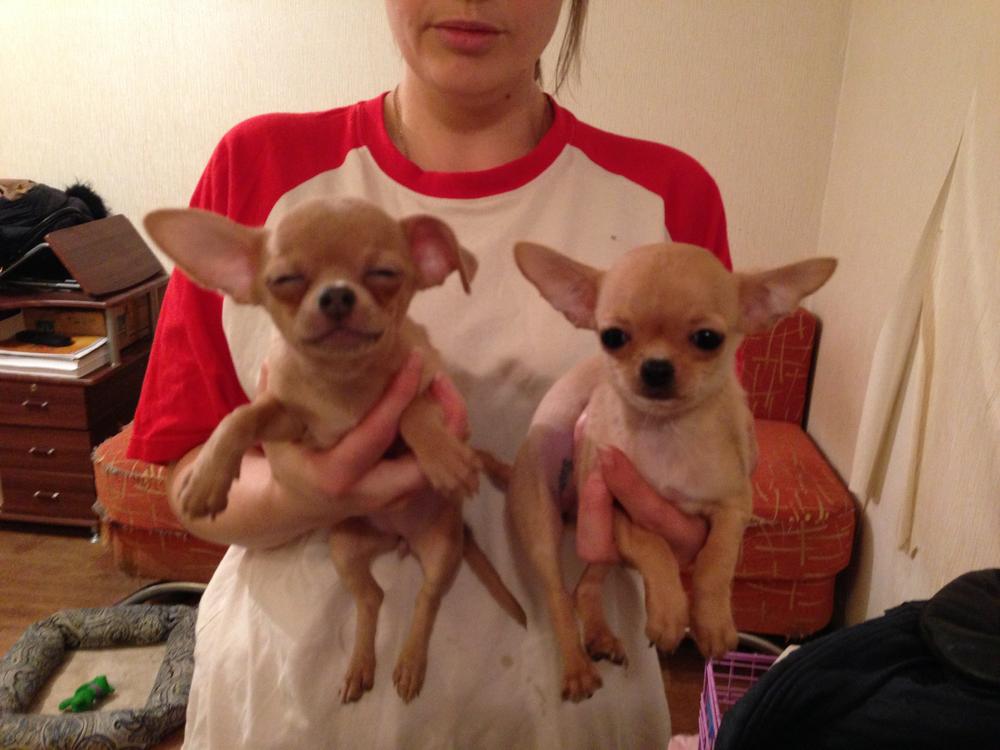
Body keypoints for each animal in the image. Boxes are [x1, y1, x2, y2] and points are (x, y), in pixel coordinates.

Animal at [144, 197, 526, 703]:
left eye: (384, 272)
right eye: (285, 280)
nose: (337, 295)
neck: (346, 384)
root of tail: (400, 539)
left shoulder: (427, 386)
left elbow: (411, 409)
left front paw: (442, 457)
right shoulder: (290, 418)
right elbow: (243, 415)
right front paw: (208, 476)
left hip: (442, 548)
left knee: (426, 599)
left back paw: (408, 663)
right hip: (345, 546)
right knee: (372, 597)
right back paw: (362, 666)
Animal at [509, 240, 836, 701]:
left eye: (708, 339)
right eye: (612, 337)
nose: (656, 366)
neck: (667, 432)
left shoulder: (734, 508)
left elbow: (716, 560)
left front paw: (712, 622)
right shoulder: (617, 507)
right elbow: (653, 547)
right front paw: (668, 613)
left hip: (602, 549)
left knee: (584, 585)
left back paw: (600, 636)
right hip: (542, 520)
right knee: (558, 594)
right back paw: (577, 668)